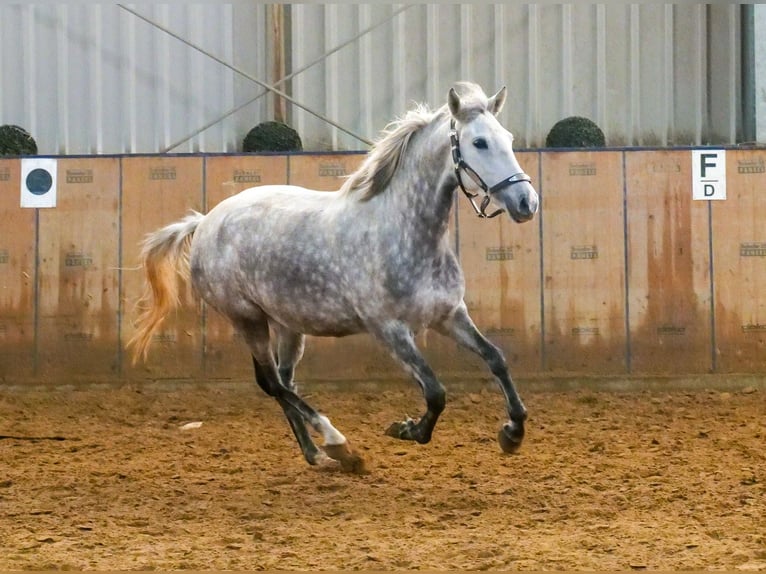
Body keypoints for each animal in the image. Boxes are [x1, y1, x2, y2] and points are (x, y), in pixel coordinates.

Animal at [129, 83, 540, 474]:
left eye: (508, 138)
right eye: (479, 142)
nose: (526, 203)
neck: (404, 233)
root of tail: (204, 222)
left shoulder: (449, 315)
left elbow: (496, 358)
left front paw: (512, 434)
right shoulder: (389, 329)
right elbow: (436, 391)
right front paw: (407, 429)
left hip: (287, 324)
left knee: (283, 381)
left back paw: (320, 455)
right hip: (247, 318)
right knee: (272, 383)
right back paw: (338, 444)